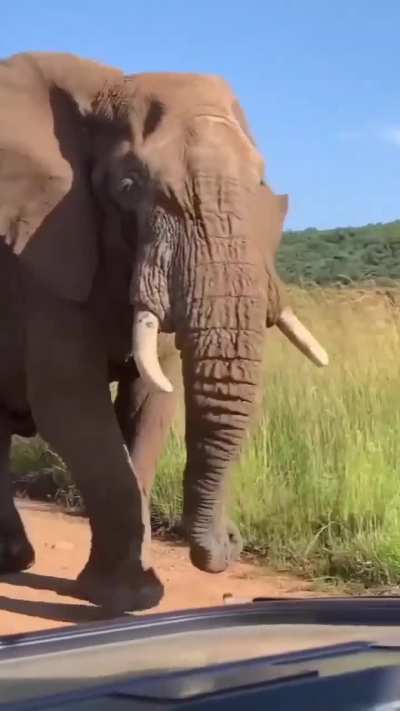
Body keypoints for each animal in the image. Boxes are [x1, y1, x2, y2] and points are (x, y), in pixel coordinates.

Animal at [0, 51, 328, 613]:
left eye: (261, 184)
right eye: (129, 186)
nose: (231, 542)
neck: (109, 87)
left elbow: (150, 403)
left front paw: (122, 591)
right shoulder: (42, 260)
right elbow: (71, 405)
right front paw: (130, 598)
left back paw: (13, 560)